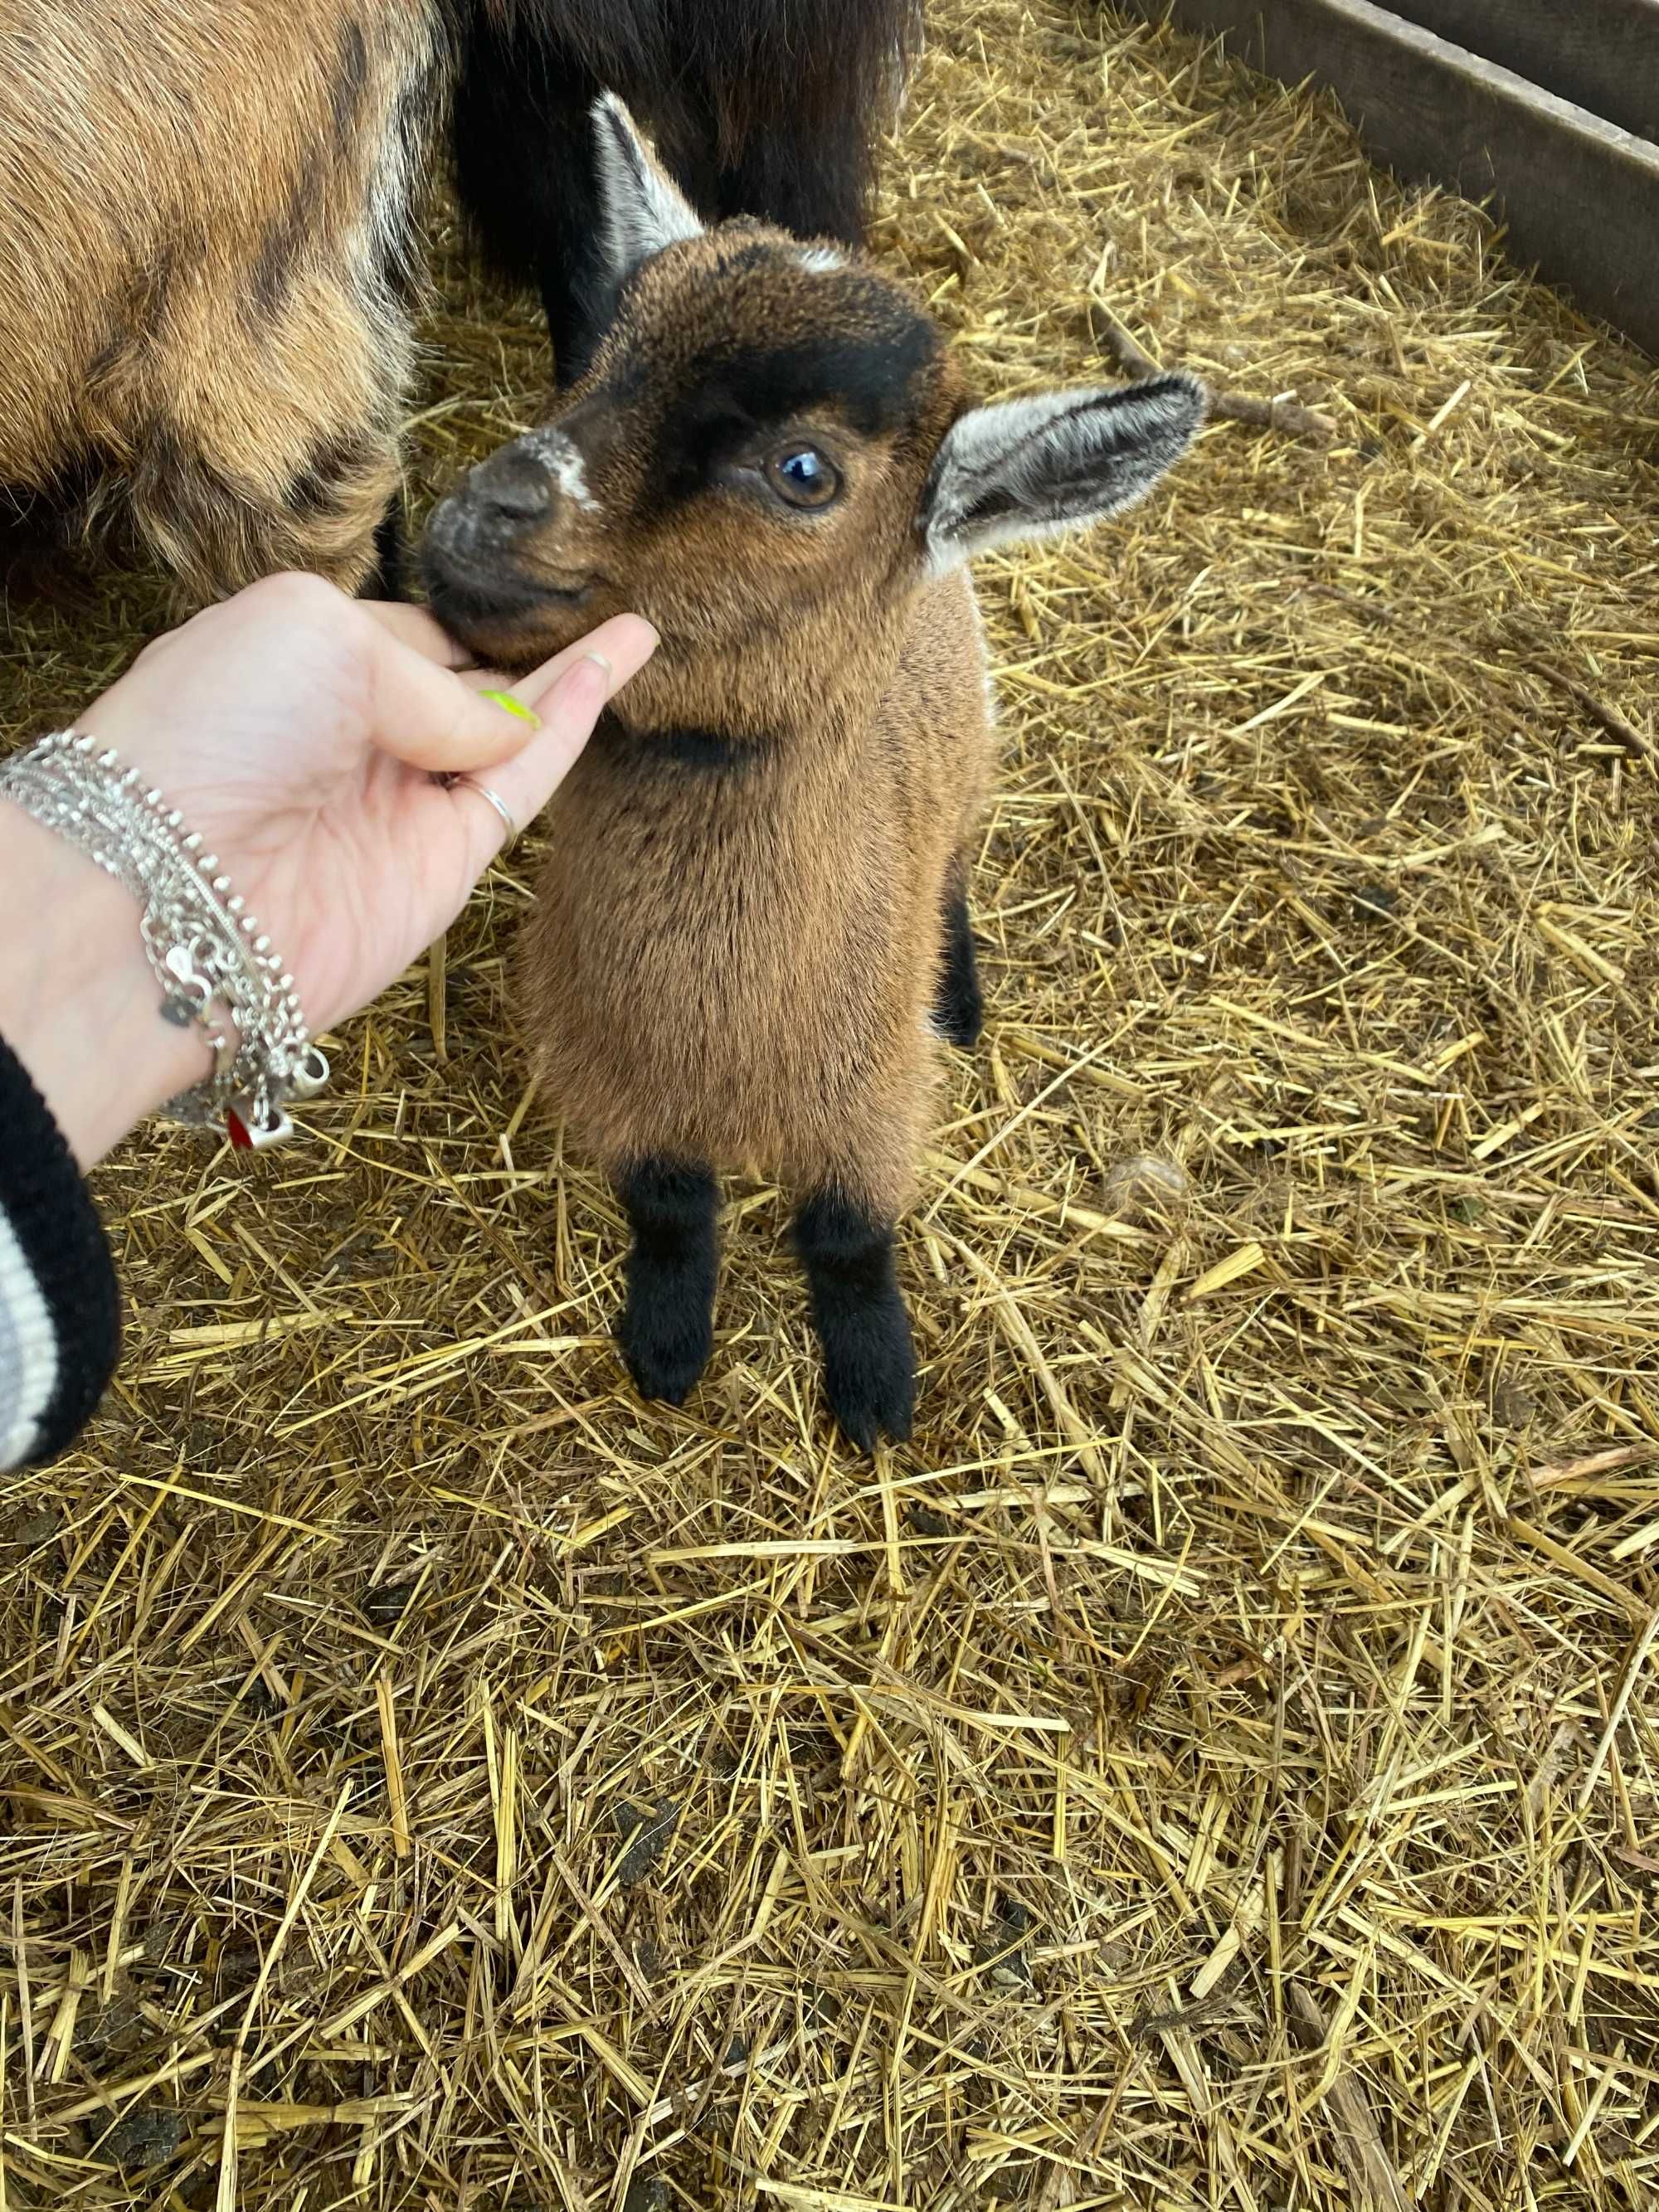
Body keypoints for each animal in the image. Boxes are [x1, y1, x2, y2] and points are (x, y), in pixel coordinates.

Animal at [425, 100, 1212, 1451]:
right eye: (606, 350)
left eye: (805, 473)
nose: (478, 518)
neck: (726, 1035)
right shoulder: (616, 1080)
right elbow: (670, 1208)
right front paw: (668, 1340)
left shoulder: (868, 1099)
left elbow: (848, 1237)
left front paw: (875, 1385)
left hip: (966, 769)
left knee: (951, 864)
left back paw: (959, 991)